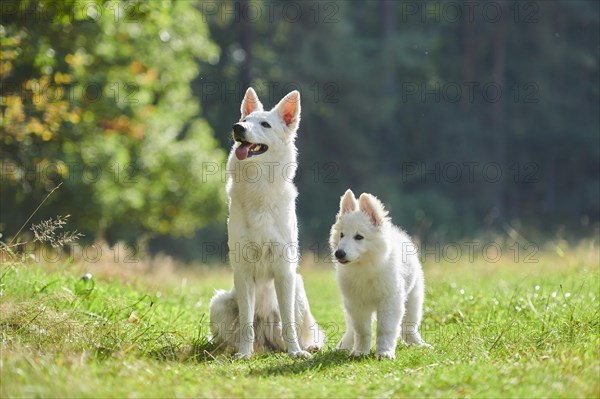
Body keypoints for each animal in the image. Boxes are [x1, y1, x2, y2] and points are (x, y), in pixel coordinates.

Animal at [210, 89, 326, 360]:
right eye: (245, 119)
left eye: (265, 124)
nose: (237, 127)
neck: (258, 186)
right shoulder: (243, 272)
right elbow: (246, 325)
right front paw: (244, 354)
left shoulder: (284, 271)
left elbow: (289, 324)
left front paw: (296, 353)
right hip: (219, 303)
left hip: (298, 290)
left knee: (300, 329)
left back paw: (307, 347)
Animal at [328, 189, 432, 360]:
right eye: (342, 235)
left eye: (359, 237)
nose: (339, 253)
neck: (365, 267)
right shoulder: (357, 304)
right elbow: (362, 331)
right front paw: (360, 352)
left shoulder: (390, 301)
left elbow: (385, 329)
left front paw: (385, 352)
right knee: (351, 330)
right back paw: (342, 347)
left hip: (414, 298)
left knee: (409, 326)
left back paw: (419, 344)